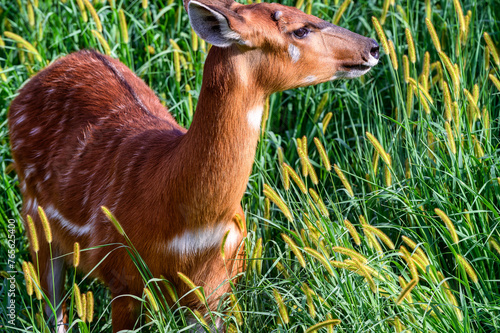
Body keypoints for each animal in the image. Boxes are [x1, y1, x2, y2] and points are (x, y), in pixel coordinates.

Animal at [8, 0, 378, 330]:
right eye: (300, 29)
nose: (373, 47)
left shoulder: (213, 291)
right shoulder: (123, 278)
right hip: (34, 218)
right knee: (53, 309)